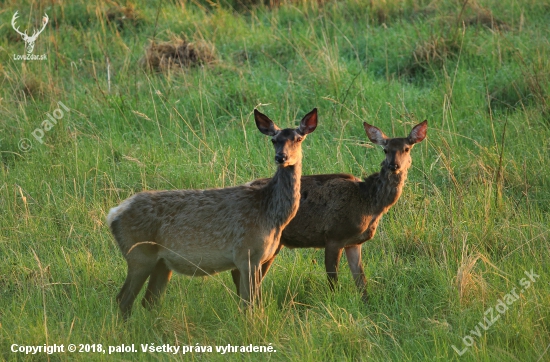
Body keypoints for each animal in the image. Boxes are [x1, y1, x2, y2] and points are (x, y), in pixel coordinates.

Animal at [106, 107, 320, 316]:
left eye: (298, 139)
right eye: (274, 140)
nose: (281, 157)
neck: (271, 215)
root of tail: (113, 214)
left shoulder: (258, 258)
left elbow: (254, 303)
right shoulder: (246, 254)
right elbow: (247, 305)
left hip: (161, 262)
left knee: (149, 300)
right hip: (139, 253)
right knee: (123, 300)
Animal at [231, 120, 430, 302]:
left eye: (406, 148)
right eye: (385, 150)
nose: (393, 165)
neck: (368, 203)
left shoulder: (354, 242)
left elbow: (361, 281)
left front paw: (367, 304)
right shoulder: (334, 235)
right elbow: (333, 281)